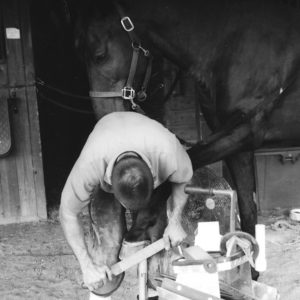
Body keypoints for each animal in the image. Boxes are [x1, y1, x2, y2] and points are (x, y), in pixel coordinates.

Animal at [73, 0, 300, 238]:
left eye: (100, 55)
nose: (105, 117)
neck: (231, 45)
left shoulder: (243, 132)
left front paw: (140, 227)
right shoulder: (238, 146)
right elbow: (248, 213)